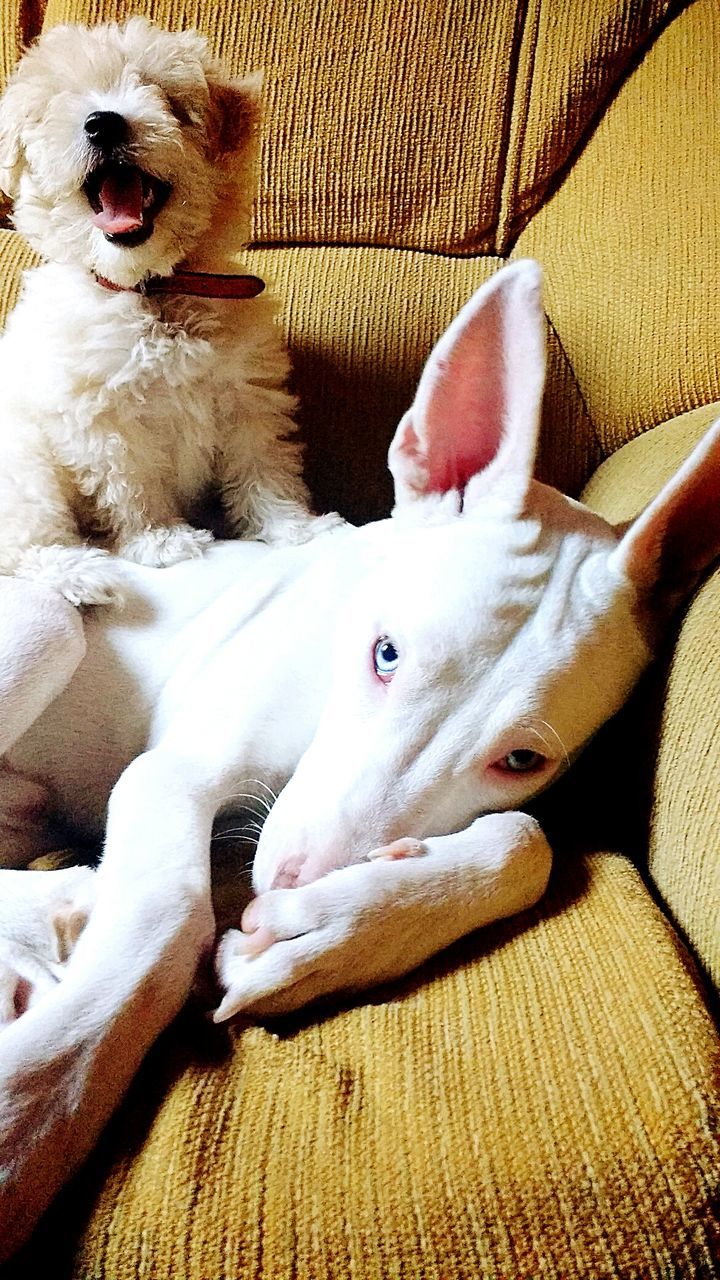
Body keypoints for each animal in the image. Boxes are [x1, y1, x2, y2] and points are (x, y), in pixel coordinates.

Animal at [0, 18, 330, 609]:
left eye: (167, 99)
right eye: (60, 103)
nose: (103, 123)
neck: (152, 288)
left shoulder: (247, 397)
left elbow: (264, 465)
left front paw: (295, 527)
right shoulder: (101, 417)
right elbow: (132, 483)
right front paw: (161, 542)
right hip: (21, 463)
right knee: (24, 540)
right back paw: (80, 576)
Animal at [1, 254, 717, 1254]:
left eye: (523, 762)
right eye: (386, 653)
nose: (284, 884)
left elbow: (527, 843)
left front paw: (331, 932)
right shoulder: (171, 774)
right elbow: (166, 917)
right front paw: (35, 1110)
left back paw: (59, 904)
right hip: (43, 618)